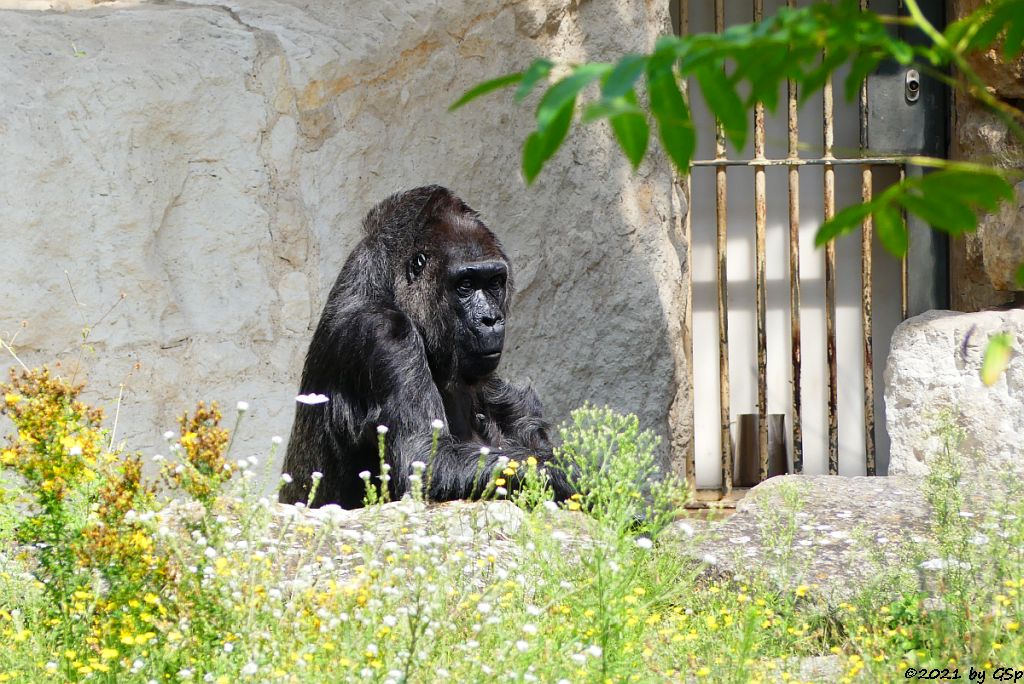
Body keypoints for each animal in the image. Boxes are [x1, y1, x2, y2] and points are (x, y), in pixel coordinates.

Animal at [280, 185, 577, 507]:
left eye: (494, 282)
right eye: (466, 285)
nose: (491, 319)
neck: (383, 285)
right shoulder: (385, 335)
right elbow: (425, 461)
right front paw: (577, 472)